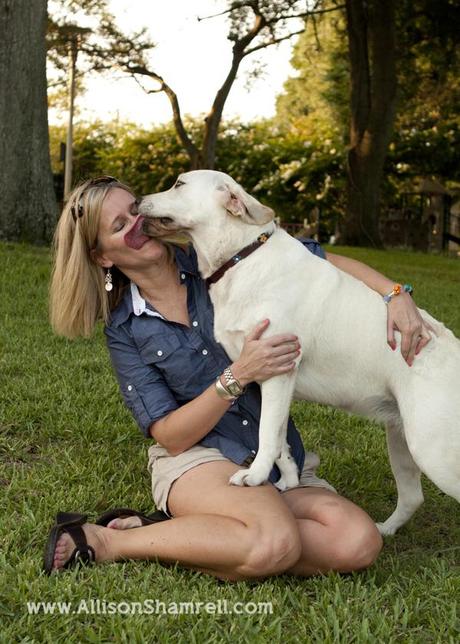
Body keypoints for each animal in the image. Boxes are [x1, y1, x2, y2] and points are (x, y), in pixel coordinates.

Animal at [140, 170, 460, 532]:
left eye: (179, 185)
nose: (137, 201)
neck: (241, 256)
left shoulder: (278, 374)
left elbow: (266, 433)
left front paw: (254, 476)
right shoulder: (266, 377)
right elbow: (278, 436)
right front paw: (289, 479)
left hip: (433, 450)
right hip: (403, 441)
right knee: (412, 497)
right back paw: (385, 530)